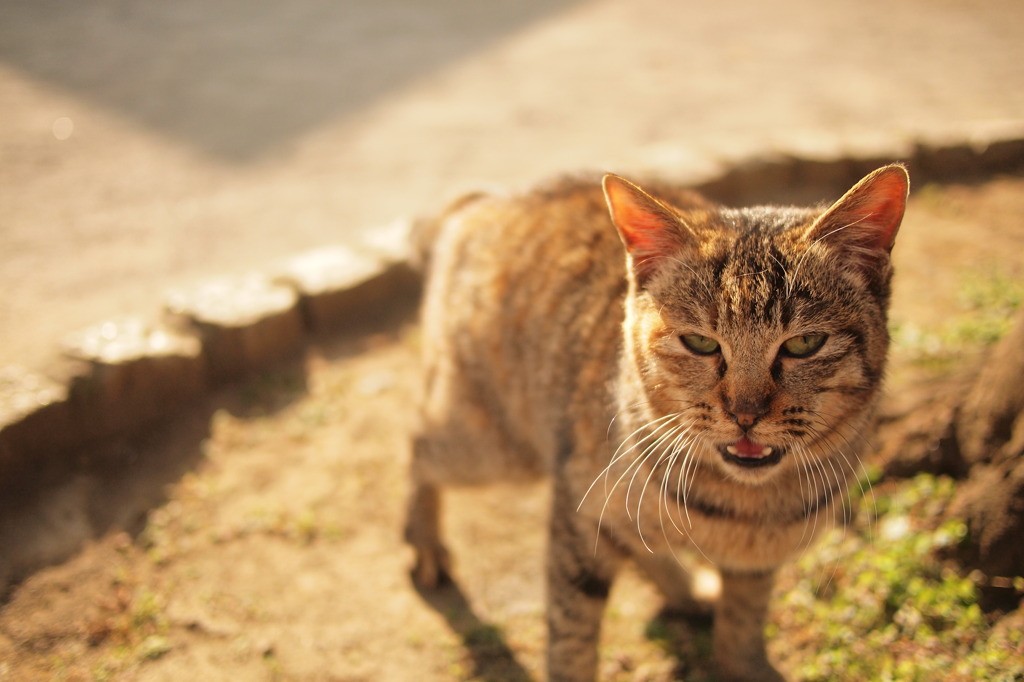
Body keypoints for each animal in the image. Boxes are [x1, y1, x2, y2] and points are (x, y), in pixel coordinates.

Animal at [403, 161, 909, 675]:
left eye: (804, 344)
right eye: (700, 343)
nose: (744, 412)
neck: (742, 507)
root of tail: (484, 201)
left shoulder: (754, 564)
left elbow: (743, 620)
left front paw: (742, 663)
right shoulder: (579, 515)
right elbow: (571, 636)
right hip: (489, 446)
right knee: (419, 442)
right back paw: (424, 543)